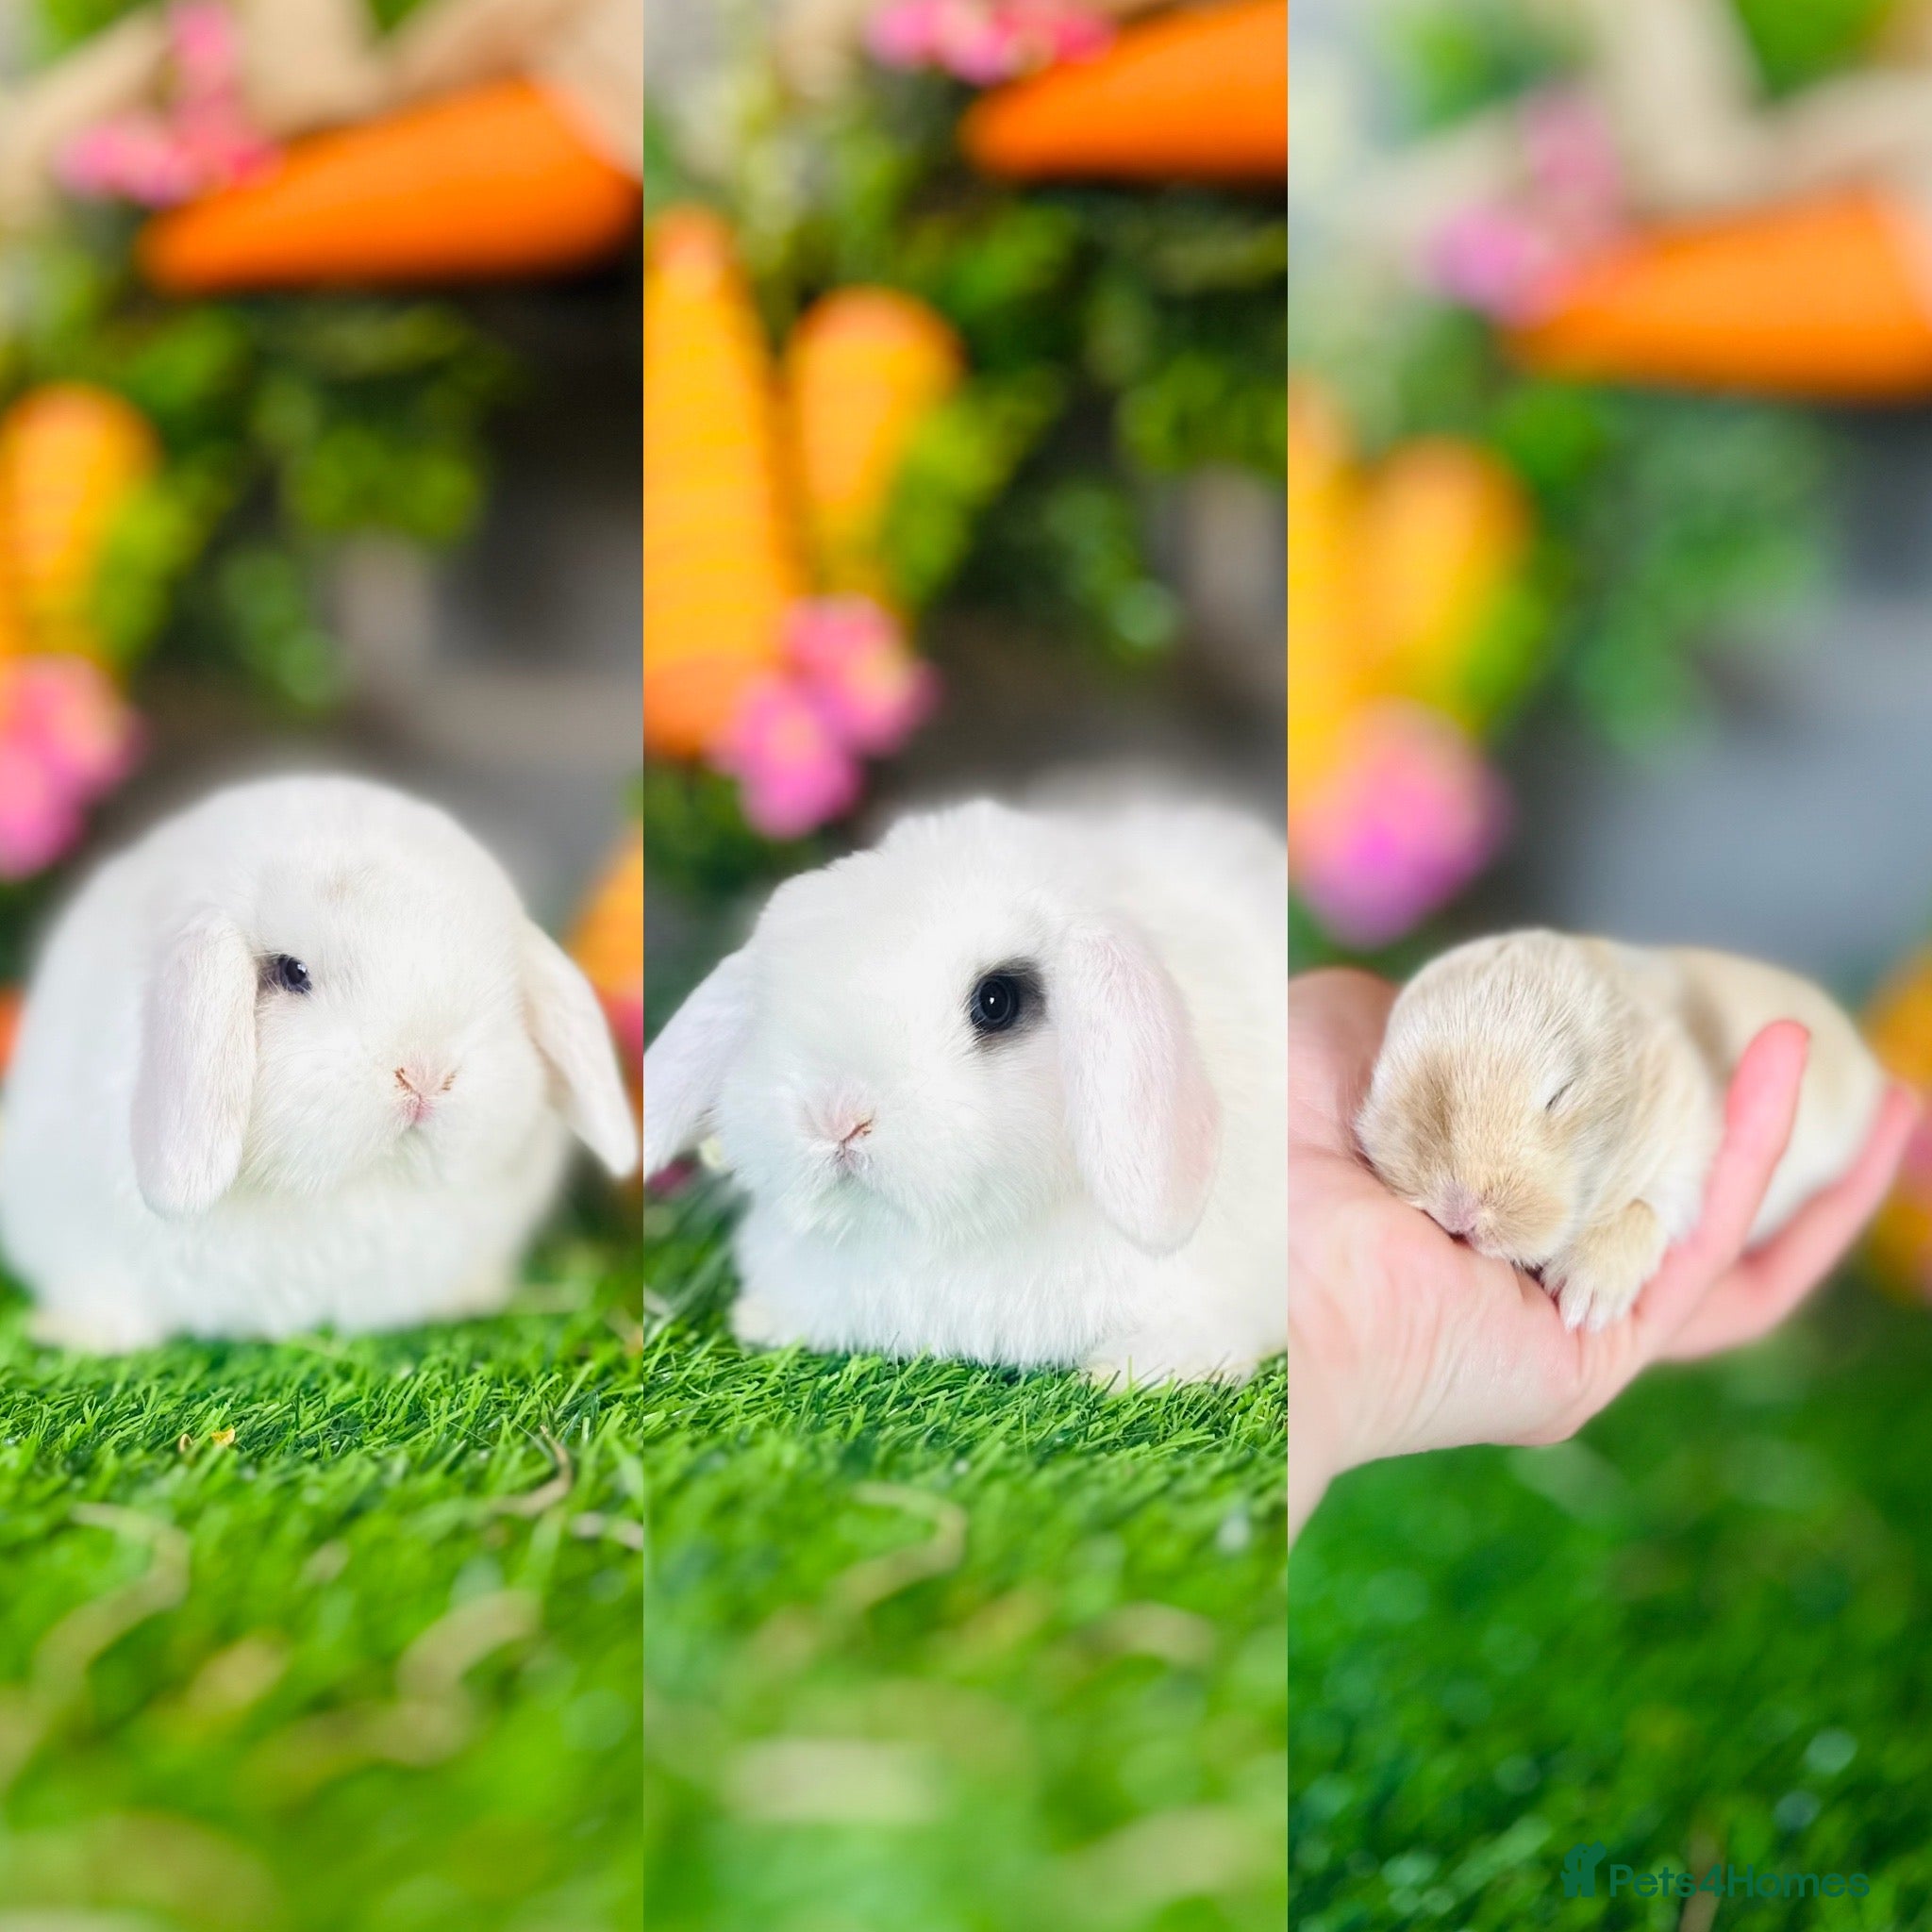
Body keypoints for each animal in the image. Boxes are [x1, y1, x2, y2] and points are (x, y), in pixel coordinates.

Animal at [1354, 929, 1886, 1333]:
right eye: (1384, 1079)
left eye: (1559, 1094)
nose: (1459, 1213)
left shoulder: (1685, 1131)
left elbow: (1646, 1206)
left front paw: (1583, 1296)